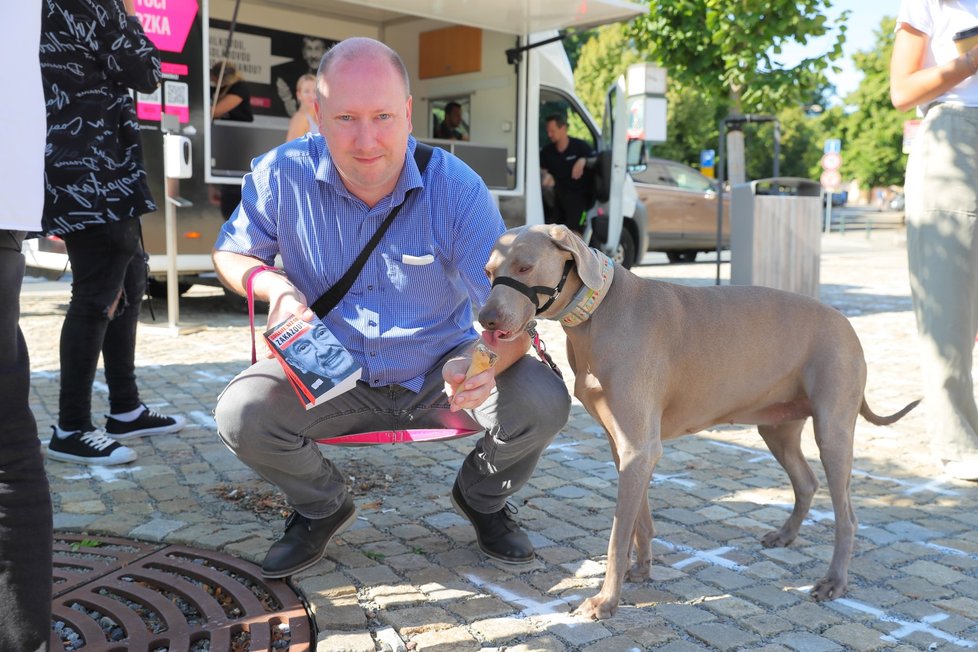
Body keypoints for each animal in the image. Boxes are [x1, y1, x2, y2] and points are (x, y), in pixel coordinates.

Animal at [476, 224, 920, 620]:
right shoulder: (625, 447)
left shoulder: (639, 448)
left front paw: (605, 601)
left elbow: (617, 535)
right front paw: (642, 571)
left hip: (832, 430)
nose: (486, 319)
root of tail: (846, 323)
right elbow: (640, 521)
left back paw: (833, 582)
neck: (600, 312)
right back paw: (786, 534)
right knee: (807, 482)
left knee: (847, 516)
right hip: (776, 426)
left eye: (525, 267)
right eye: (488, 271)